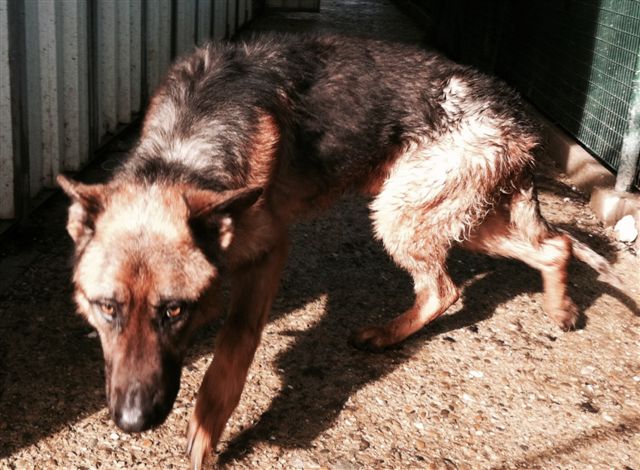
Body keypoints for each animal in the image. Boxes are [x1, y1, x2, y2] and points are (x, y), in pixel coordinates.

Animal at [57, 33, 616, 466]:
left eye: (174, 311)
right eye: (106, 309)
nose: (132, 421)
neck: (183, 153)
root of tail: (516, 116)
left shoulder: (268, 253)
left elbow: (233, 347)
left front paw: (207, 428)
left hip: (401, 215)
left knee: (446, 287)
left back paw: (388, 334)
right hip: (457, 216)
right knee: (556, 245)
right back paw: (560, 308)